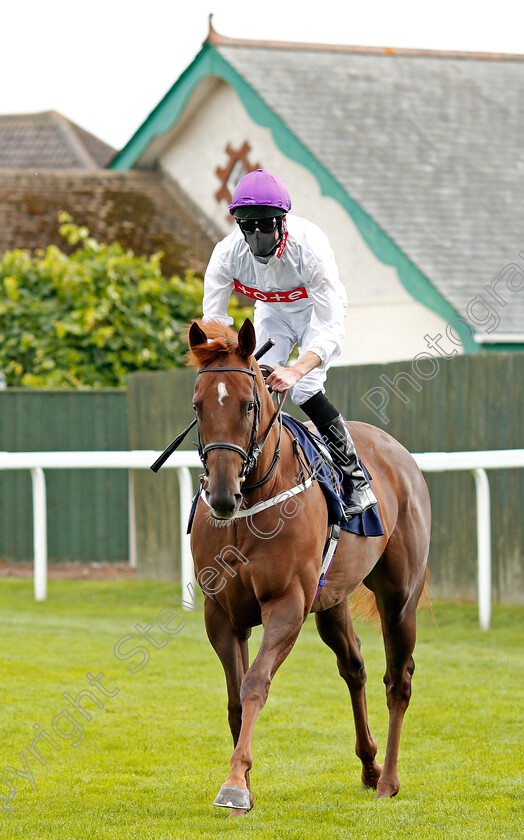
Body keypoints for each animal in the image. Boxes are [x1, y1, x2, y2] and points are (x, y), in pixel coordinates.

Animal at [186, 316, 432, 812]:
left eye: (248, 405)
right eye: (198, 407)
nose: (221, 495)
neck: (252, 505)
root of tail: (397, 451)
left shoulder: (287, 604)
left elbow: (255, 683)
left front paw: (235, 784)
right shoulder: (222, 612)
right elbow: (235, 700)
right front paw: (241, 780)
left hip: (400, 597)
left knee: (398, 680)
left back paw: (388, 780)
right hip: (332, 601)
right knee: (354, 666)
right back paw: (369, 765)